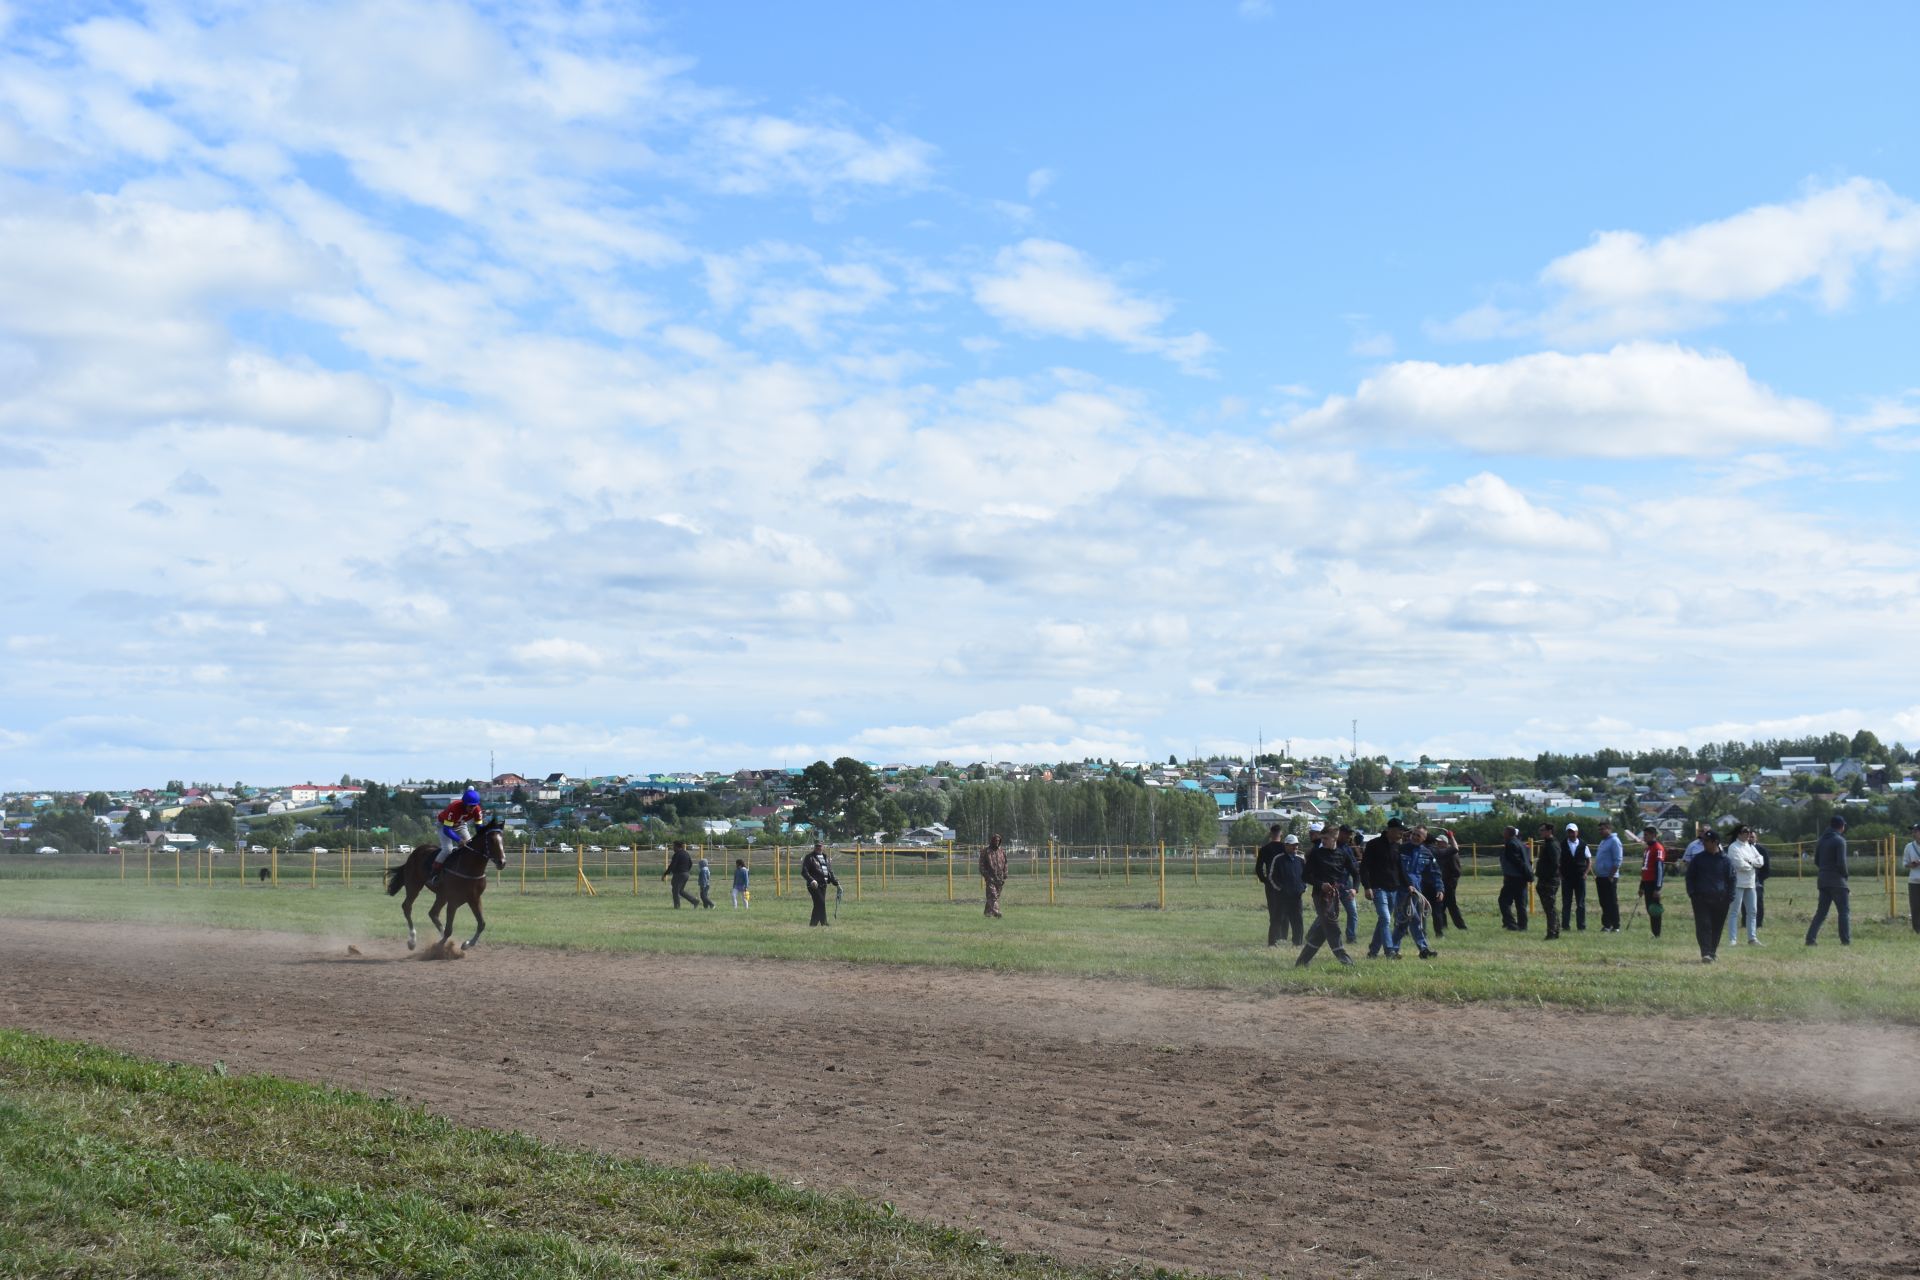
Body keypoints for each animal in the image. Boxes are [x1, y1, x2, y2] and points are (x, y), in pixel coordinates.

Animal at [385, 821, 506, 951]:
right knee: (407, 907)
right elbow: (449, 930)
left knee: (433, 913)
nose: (502, 862)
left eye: (502, 839)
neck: (469, 868)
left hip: (441, 895)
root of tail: (414, 853)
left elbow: (481, 924)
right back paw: (412, 940)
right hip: (414, 885)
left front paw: (467, 944)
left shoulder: (474, 898)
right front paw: (439, 946)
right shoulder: (453, 901)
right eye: (492, 840)